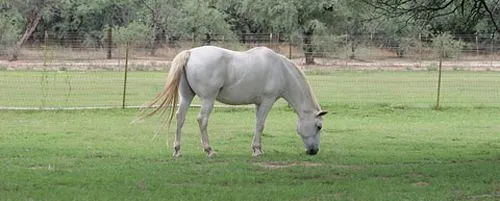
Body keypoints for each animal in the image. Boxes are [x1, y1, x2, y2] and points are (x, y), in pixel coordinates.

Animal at [143, 45, 326, 157]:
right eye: (319, 126)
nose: (314, 151)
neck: (281, 70)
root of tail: (190, 53)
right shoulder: (267, 101)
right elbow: (261, 125)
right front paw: (257, 150)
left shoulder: (258, 104)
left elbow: (257, 124)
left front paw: (257, 148)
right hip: (208, 99)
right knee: (202, 120)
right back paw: (209, 150)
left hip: (187, 97)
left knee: (180, 118)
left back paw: (177, 150)